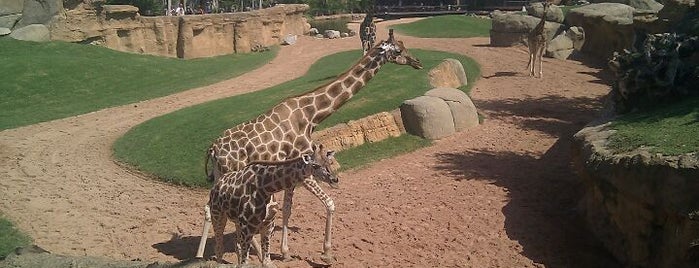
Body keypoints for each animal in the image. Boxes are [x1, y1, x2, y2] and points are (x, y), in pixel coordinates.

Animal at [208, 142, 340, 266]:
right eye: (315, 165)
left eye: (330, 162)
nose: (334, 180)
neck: (265, 187)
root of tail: (215, 186)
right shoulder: (247, 227)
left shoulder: (268, 224)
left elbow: (266, 262)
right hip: (218, 216)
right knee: (219, 248)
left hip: (237, 222)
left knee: (236, 246)